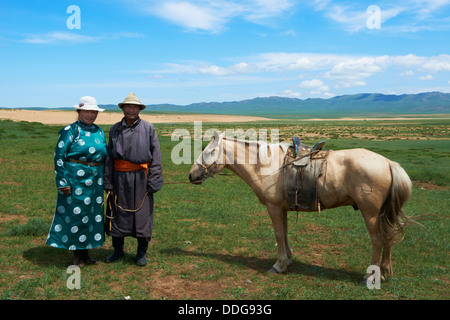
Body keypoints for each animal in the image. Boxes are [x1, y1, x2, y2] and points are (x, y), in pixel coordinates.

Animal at [188, 131, 414, 280]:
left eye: (209, 152)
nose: (192, 175)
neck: (265, 165)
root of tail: (388, 163)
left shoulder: (273, 207)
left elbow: (278, 234)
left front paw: (278, 265)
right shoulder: (282, 208)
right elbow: (285, 232)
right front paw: (287, 260)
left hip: (371, 213)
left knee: (377, 240)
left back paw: (371, 275)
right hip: (382, 213)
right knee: (388, 238)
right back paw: (385, 271)